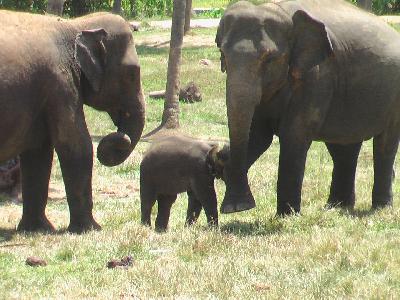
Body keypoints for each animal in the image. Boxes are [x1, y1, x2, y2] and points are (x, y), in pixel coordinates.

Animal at [0, 10, 145, 232]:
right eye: (131, 74)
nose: (121, 136)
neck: (76, 25)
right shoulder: (60, 84)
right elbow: (76, 145)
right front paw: (91, 229)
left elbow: (38, 153)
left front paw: (38, 229)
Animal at [217, 0, 400, 216]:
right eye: (223, 55)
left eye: (269, 59)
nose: (241, 207)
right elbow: (258, 135)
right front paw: (234, 206)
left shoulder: (316, 77)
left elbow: (293, 135)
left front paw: (286, 216)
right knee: (343, 148)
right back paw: (336, 207)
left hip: (395, 97)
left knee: (385, 144)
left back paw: (380, 207)